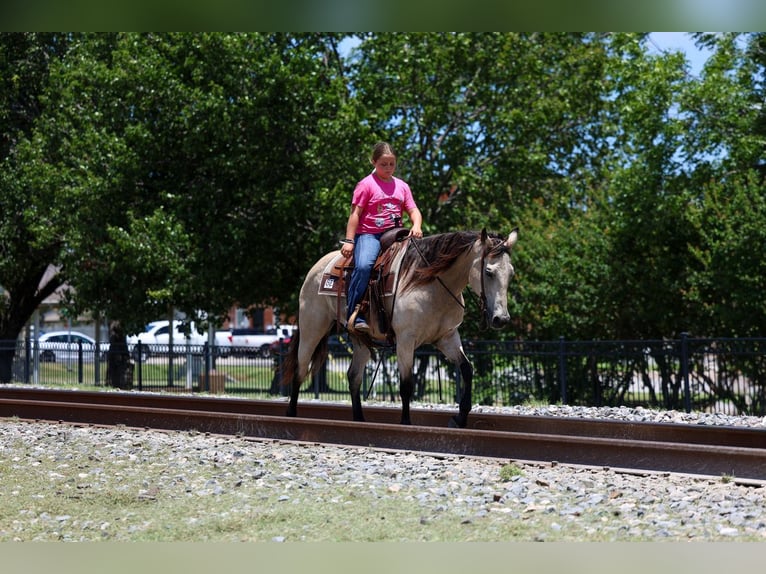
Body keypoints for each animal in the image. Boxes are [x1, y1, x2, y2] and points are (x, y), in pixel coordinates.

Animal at [280, 228, 519, 428]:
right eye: (488, 272)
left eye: (511, 273)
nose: (501, 319)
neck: (431, 283)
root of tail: (319, 266)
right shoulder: (406, 340)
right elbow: (406, 384)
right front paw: (406, 423)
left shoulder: (447, 337)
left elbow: (467, 370)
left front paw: (459, 418)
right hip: (312, 328)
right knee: (300, 369)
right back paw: (291, 414)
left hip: (359, 340)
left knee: (353, 376)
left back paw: (359, 419)